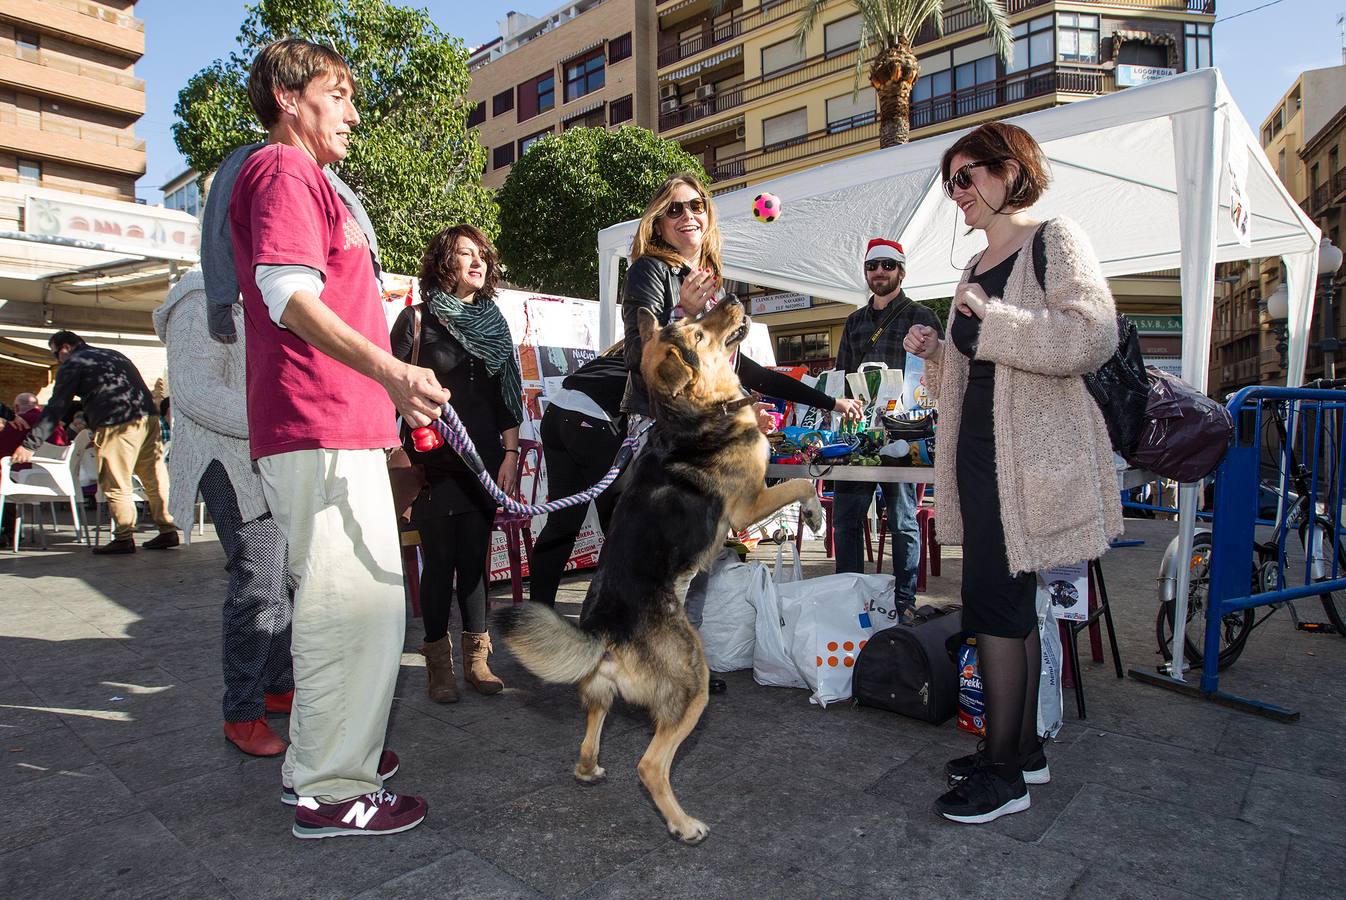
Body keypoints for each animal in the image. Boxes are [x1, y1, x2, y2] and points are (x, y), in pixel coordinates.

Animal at [500, 294, 823, 844]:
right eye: (697, 334)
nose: (733, 298)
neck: (691, 415)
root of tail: (606, 632)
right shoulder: (751, 504)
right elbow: (801, 482)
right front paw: (818, 513)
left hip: (602, 694)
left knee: (590, 734)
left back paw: (590, 770)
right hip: (693, 687)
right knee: (650, 766)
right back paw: (683, 824)